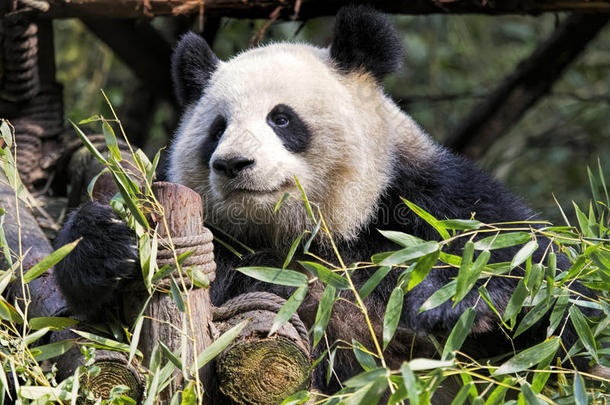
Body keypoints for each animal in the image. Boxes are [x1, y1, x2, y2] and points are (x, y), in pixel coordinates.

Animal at [54, 4, 596, 400]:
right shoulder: (231, 248)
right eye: (217, 129)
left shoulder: (431, 205)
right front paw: (104, 244)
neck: (307, 236)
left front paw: (461, 301)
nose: (232, 163)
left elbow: (558, 312)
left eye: (281, 118)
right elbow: (97, 335)